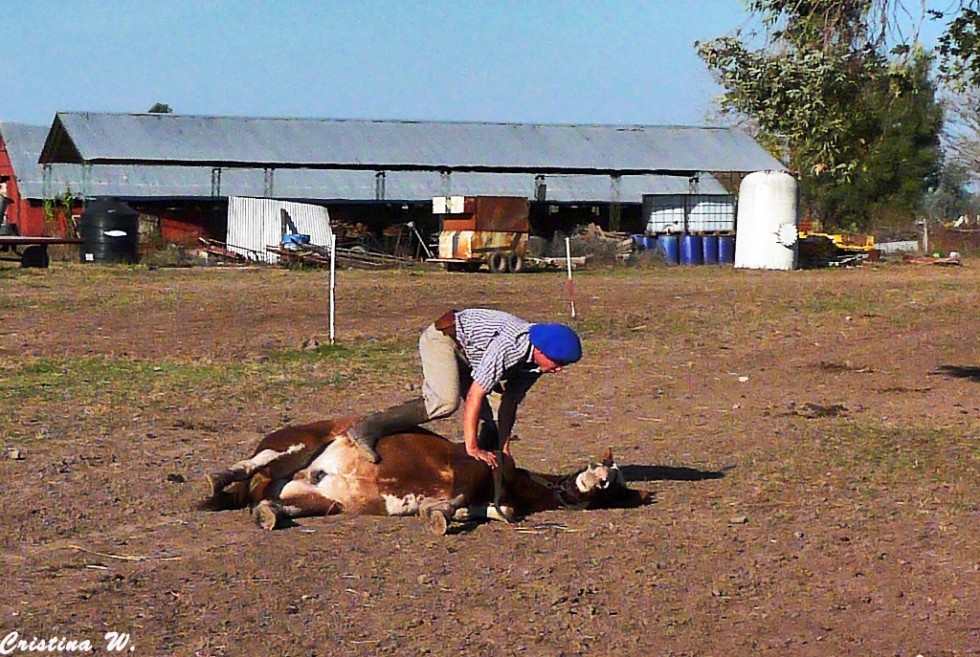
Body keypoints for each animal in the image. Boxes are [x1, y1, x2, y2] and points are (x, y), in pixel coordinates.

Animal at [202, 416, 648, 532]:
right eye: (599, 468)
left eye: (615, 486)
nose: (599, 479)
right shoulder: (471, 468)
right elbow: (459, 500)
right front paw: (437, 515)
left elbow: (493, 511)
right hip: (294, 444)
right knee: (250, 464)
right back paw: (216, 479)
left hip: (320, 501)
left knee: (272, 504)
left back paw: (268, 513)